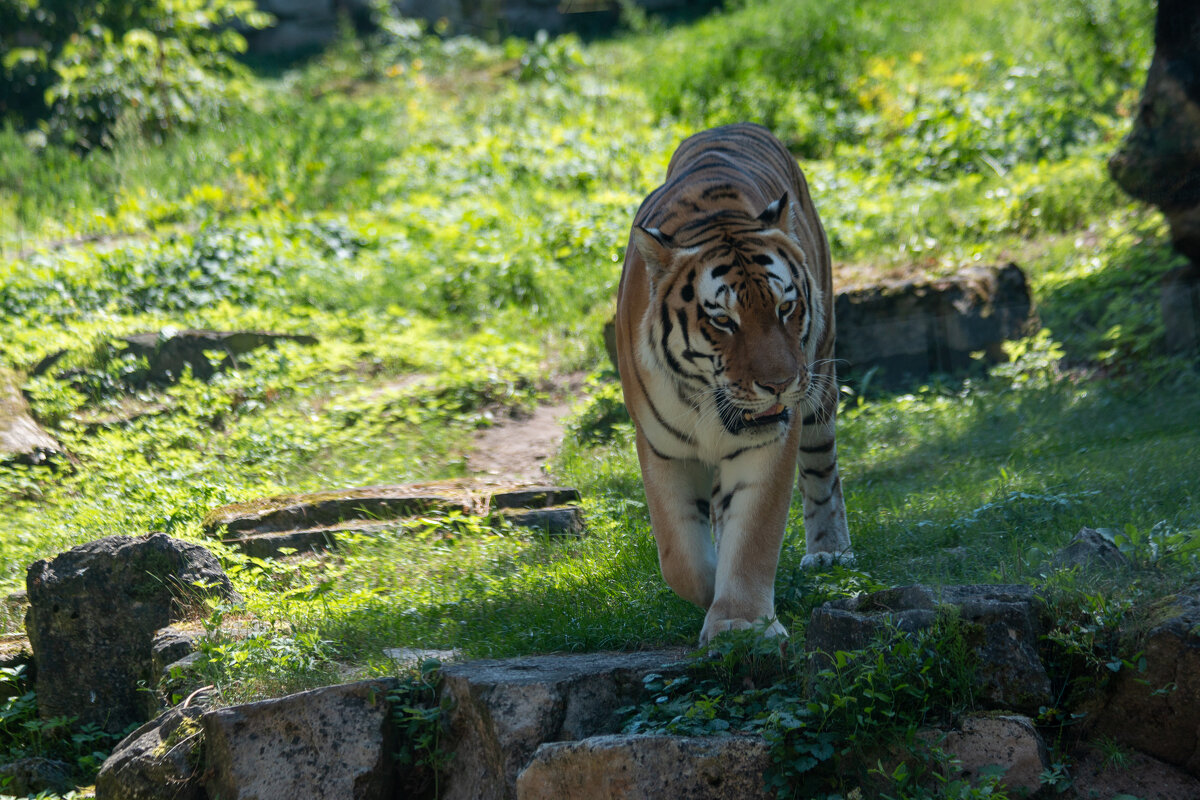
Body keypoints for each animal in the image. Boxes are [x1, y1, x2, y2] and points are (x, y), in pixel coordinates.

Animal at [619, 123, 854, 642]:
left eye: (786, 307)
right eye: (724, 321)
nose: (779, 383)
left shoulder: (769, 440)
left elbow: (753, 535)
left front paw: (739, 623)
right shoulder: (661, 448)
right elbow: (679, 556)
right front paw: (712, 596)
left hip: (821, 383)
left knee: (821, 471)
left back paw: (829, 552)